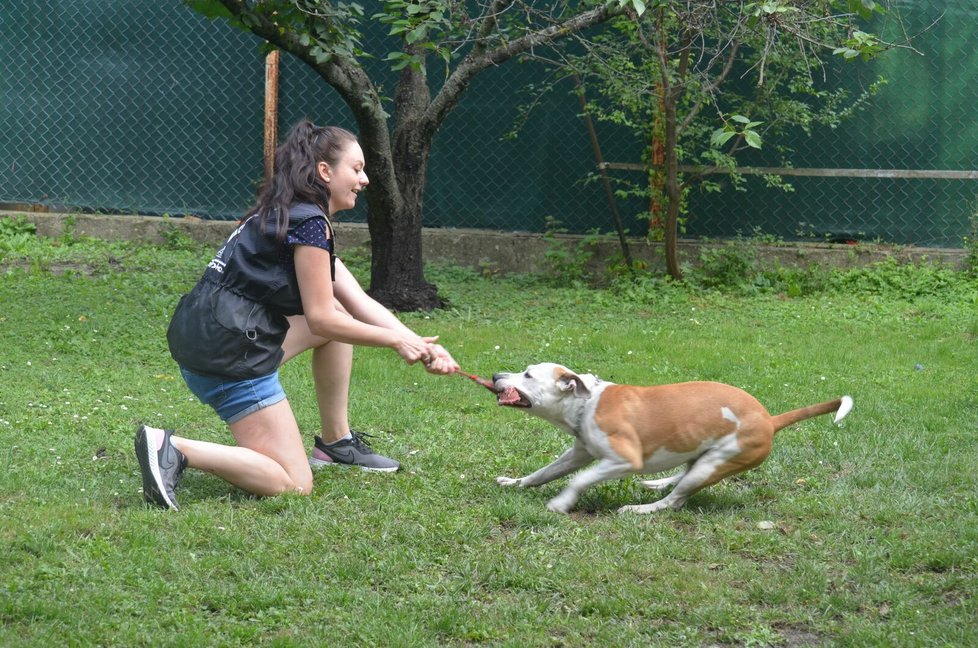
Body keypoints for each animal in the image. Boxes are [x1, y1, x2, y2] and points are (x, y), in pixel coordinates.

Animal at [492, 362, 852, 512]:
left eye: (528, 374)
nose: (495, 375)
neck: (586, 402)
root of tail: (770, 419)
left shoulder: (623, 460)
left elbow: (579, 480)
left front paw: (561, 502)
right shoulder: (578, 453)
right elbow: (543, 473)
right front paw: (515, 483)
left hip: (714, 464)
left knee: (675, 501)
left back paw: (640, 509)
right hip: (704, 456)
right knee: (681, 475)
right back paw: (658, 483)